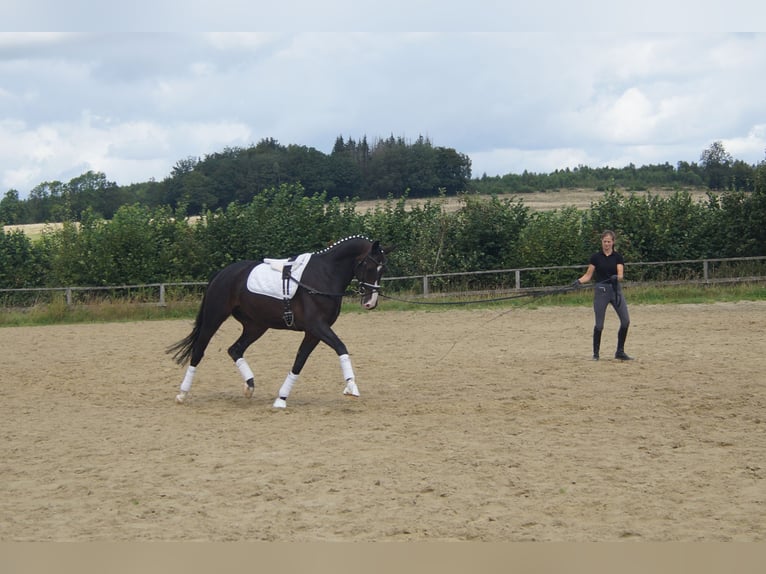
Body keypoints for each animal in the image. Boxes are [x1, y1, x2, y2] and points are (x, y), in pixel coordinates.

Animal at [166, 237, 390, 410]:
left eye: (382, 269)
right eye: (369, 266)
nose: (370, 303)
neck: (324, 275)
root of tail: (222, 274)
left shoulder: (313, 333)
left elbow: (299, 362)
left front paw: (281, 399)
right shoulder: (317, 326)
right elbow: (341, 347)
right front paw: (351, 387)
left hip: (256, 326)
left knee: (235, 349)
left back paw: (249, 386)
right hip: (214, 318)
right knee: (199, 351)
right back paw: (182, 394)